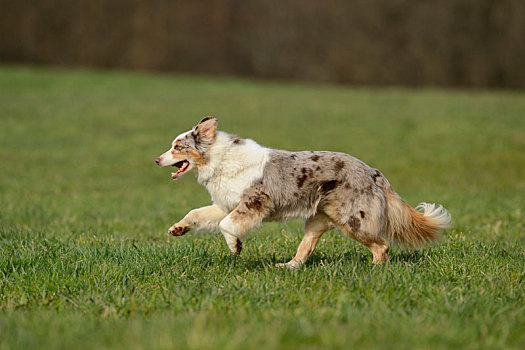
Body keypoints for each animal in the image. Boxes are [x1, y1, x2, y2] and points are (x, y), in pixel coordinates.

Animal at [155, 117, 450, 268]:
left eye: (177, 147)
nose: (157, 160)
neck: (219, 160)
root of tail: (373, 171)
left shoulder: (253, 203)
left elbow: (227, 225)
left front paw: (235, 245)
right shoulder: (227, 204)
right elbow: (197, 213)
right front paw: (178, 229)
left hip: (354, 220)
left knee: (383, 245)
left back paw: (375, 270)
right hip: (317, 220)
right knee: (305, 249)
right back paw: (288, 267)